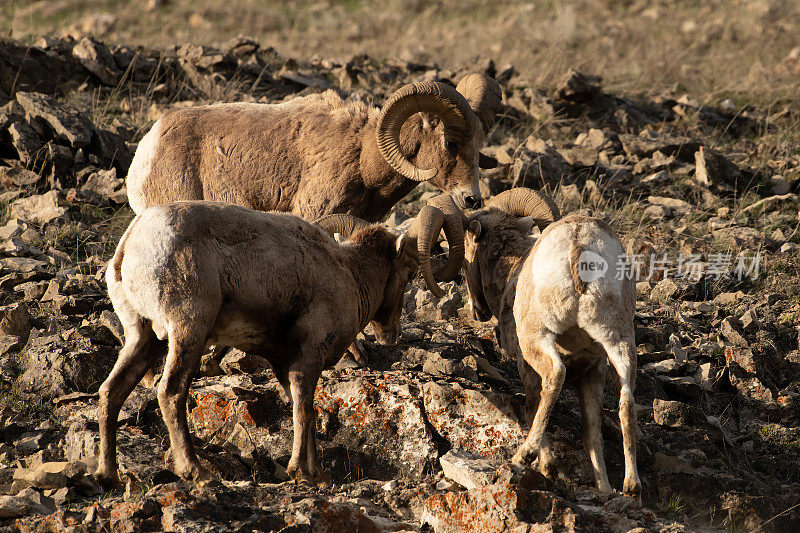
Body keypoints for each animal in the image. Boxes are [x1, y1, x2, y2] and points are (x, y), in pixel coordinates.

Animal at [97, 195, 466, 486]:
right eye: (409, 272)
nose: (390, 334)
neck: (348, 275)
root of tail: (130, 243)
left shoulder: (283, 364)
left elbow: (308, 413)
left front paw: (319, 476)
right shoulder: (307, 359)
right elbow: (303, 410)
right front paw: (300, 473)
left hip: (143, 337)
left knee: (111, 391)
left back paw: (107, 476)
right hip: (187, 331)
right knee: (170, 392)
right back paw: (198, 473)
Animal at [462, 188, 644, 498]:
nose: (477, 311)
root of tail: (577, 243)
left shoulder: (525, 363)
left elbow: (534, 404)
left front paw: (546, 466)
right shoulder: (592, 370)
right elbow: (592, 432)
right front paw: (604, 488)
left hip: (538, 337)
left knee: (555, 376)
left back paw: (524, 454)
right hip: (619, 342)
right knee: (626, 401)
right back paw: (631, 487)